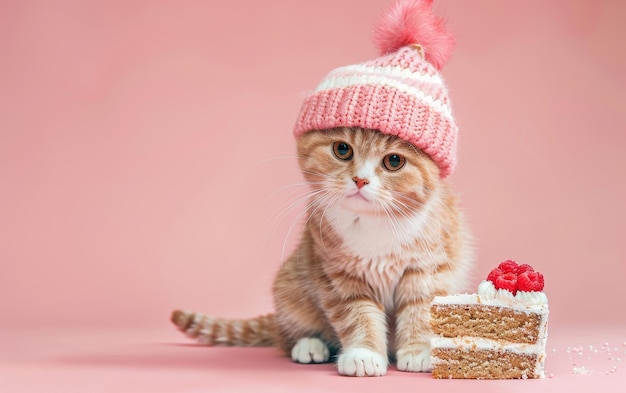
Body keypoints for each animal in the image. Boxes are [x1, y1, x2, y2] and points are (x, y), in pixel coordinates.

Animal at [171, 126, 472, 376]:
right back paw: (309, 345)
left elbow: (420, 309)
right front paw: (363, 354)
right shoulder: (336, 274)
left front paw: (420, 350)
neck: (372, 224)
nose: (360, 180)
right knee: (287, 335)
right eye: (342, 150)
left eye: (394, 161)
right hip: (291, 284)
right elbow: (358, 315)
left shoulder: (429, 268)